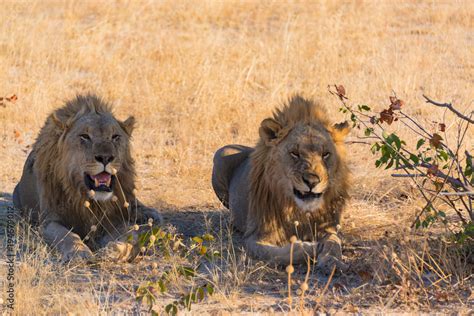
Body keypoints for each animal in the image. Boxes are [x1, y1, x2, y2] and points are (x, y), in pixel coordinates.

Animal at [12, 94, 162, 262]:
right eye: (84, 136)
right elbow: (67, 236)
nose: (105, 157)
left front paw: (115, 250)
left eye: (115, 137)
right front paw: (79, 252)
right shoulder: (49, 221)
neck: (88, 198)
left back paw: (150, 215)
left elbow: (129, 235)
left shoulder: (114, 218)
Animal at [213, 96, 350, 272]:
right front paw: (312, 248)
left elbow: (334, 242)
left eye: (325, 154)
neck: (298, 210)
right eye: (295, 153)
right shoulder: (256, 236)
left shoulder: (328, 226)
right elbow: (281, 253)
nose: (312, 181)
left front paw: (332, 260)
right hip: (221, 154)